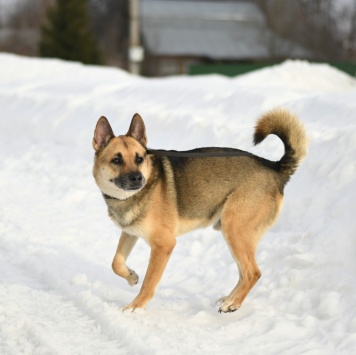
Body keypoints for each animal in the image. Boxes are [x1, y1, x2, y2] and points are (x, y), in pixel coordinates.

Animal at [93, 109, 308, 314]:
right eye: (116, 160)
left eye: (139, 159)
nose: (138, 178)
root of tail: (275, 168)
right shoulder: (130, 232)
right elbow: (116, 263)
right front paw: (131, 276)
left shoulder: (163, 245)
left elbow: (148, 282)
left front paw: (135, 306)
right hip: (234, 234)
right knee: (244, 273)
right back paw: (230, 298)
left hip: (235, 230)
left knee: (253, 273)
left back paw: (233, 303)